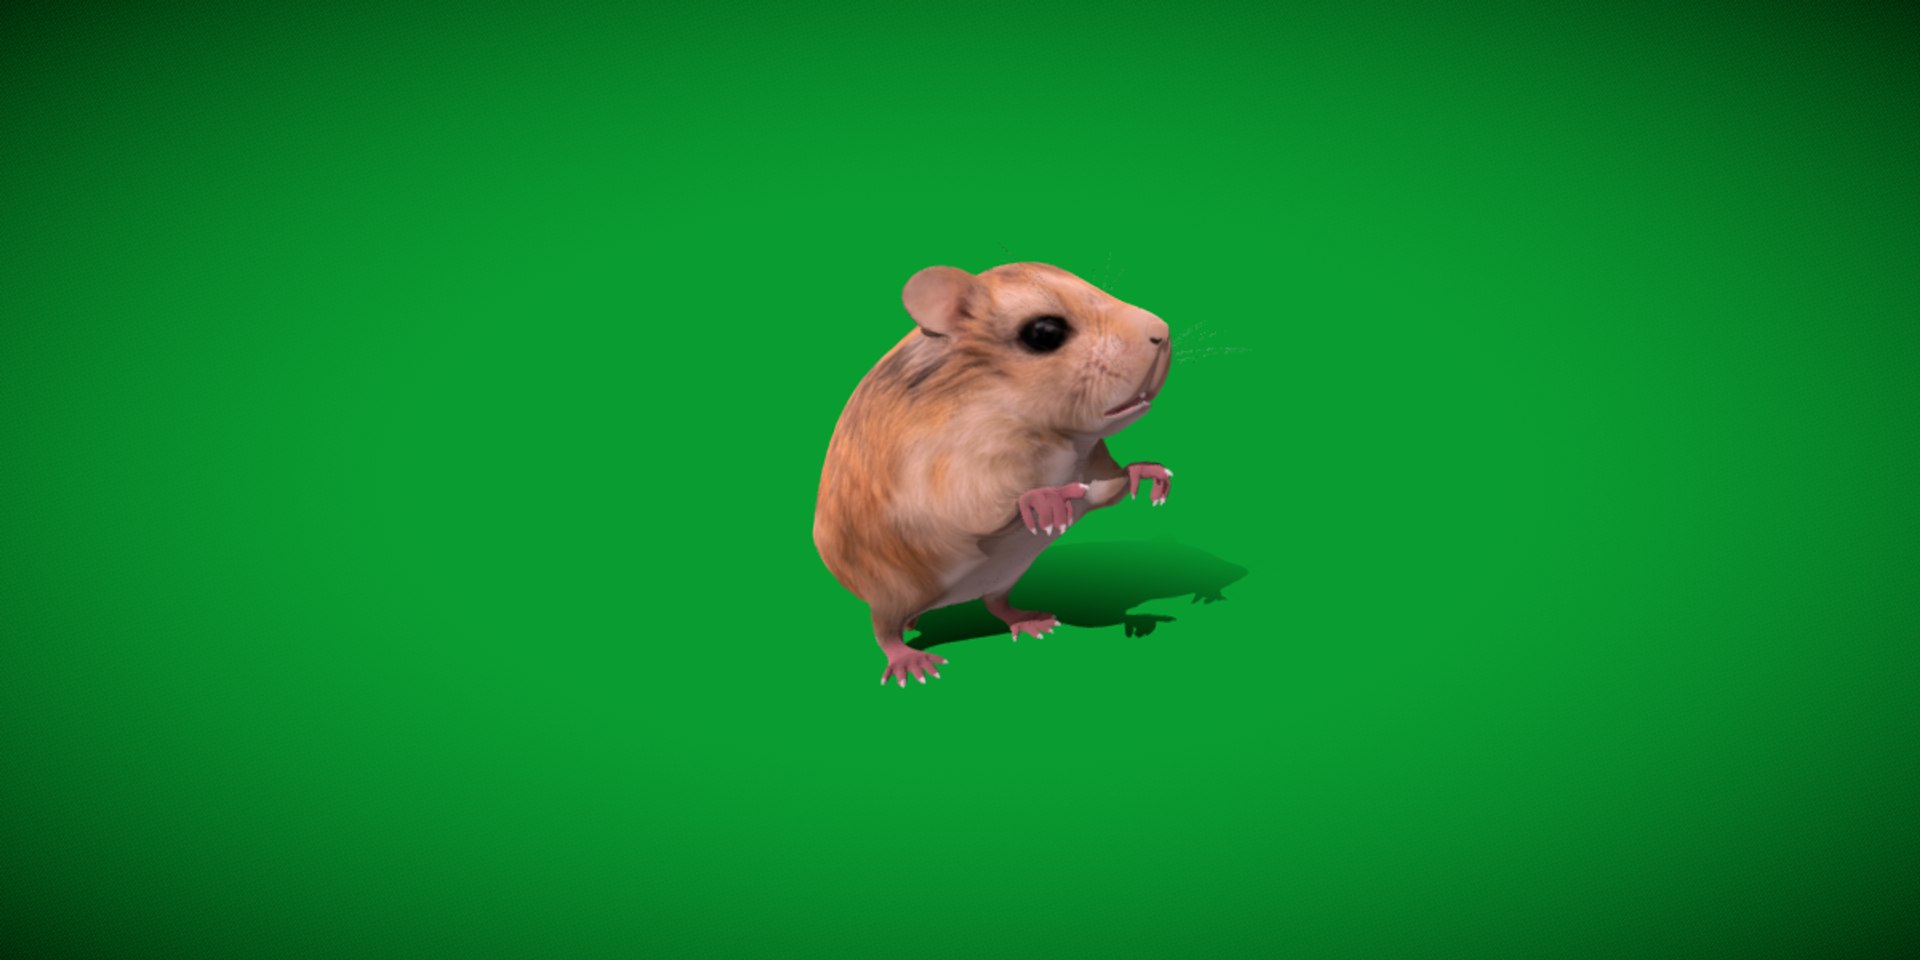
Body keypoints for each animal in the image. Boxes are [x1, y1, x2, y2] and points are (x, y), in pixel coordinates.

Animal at [813, 262, 1174, 688]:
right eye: (1044, 333)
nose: (1163, 332)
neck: (1059, 439)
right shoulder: (952, 468)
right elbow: (977, 508)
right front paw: (1045, 500)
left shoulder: (1092, 463)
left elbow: (1108, 488)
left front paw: (1147, 472)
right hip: (890, 592)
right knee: (884, 630)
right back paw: (910, 662)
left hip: (1004, 575)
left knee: (996, 604)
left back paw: (1030, 621)